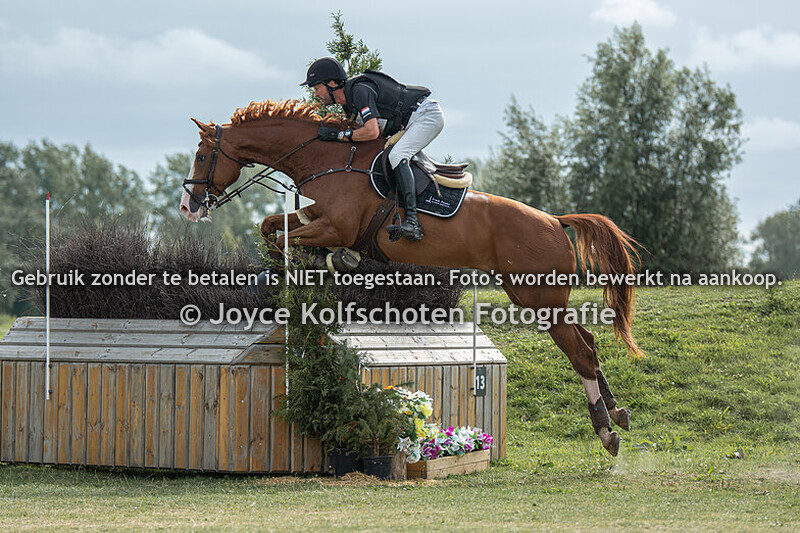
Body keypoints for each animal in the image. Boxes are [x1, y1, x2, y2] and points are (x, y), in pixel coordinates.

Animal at [179, 99, 642, 456]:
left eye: (202, 156)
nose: (188, 207)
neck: (327, 160)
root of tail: (554, 220)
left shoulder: (336, 226)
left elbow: (287, 238)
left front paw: (320, 264)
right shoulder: (317, 217)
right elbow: (271, 226)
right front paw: (298, 266)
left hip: (538, 298)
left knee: (579, 352)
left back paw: (606, 432)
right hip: (539, 298)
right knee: (588, 343)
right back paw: (617, 412)